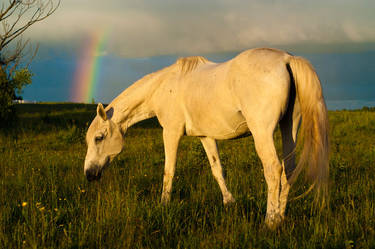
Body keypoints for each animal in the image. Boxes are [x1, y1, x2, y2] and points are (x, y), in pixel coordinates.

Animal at [83, 47, 328, 229]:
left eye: (99, 138)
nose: (89, 174)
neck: (164, 86)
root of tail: (287, 59)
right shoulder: (205, 136)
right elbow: (217, 169)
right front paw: (229, 202)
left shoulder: (170, 132)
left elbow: (169, 170)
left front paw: (163, 205)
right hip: (289, 126)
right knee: (289, 169)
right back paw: (282, 216)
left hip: (262, 132)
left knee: (273, 169)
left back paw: (271, 220)